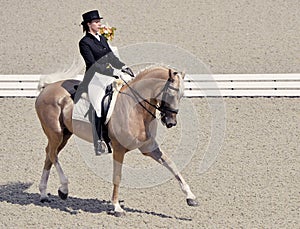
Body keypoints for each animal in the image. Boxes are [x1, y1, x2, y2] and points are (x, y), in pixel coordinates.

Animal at [35, 66, 198, 216]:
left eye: (182, 95)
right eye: (170, 94)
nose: (171, 122)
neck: (136, 109)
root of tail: (47, 88)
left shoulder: (148, 147)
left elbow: (171, 165)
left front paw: (191, 197)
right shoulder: (119, 149)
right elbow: (117, 176)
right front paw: (117, 207)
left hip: (64, 135)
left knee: (49, 155)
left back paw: (43, 194)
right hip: (56, 133)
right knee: (52, 154)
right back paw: (64, 189)